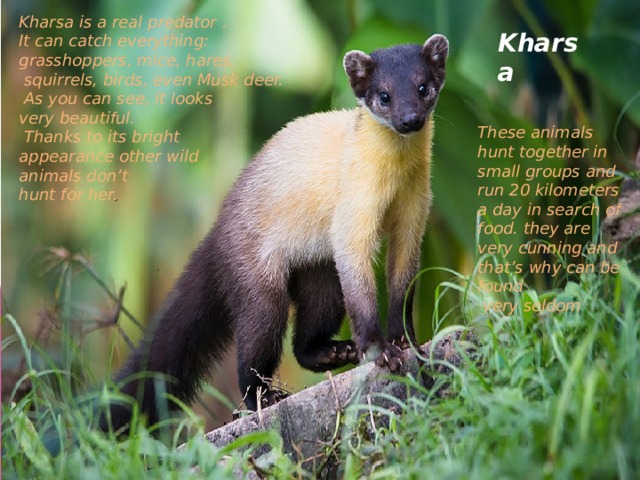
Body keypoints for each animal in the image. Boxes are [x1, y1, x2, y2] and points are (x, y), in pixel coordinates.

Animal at [102, 34, 449, 431]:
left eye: (423, 86)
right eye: (384, 95)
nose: (410, 119)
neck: (393, 184)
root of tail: (219, 227)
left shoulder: (414, 215)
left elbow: (403, 283)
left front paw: (404, 340)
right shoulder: (353, 215)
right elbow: (360, 287)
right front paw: (380, 351)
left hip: (320, 273)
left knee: (305, 340)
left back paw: (334, 351)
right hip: (260, 285)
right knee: (256, 348)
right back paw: (264, 397)